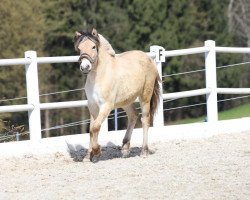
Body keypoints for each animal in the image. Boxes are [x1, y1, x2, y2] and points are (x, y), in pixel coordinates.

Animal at [73, 28, 160, 162]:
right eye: (79, 48)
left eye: (93, 46)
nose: (85, 67)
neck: (99, 76)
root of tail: (149, 59)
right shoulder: (92, 106)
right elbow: (91, 130)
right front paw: (88, 156)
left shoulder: (106, 106)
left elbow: (95, 127)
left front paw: (97, 152)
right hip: (126, 100)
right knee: (133, 115)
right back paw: (125, 148)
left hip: (145, 96)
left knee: (145, 119)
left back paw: (144, 151)